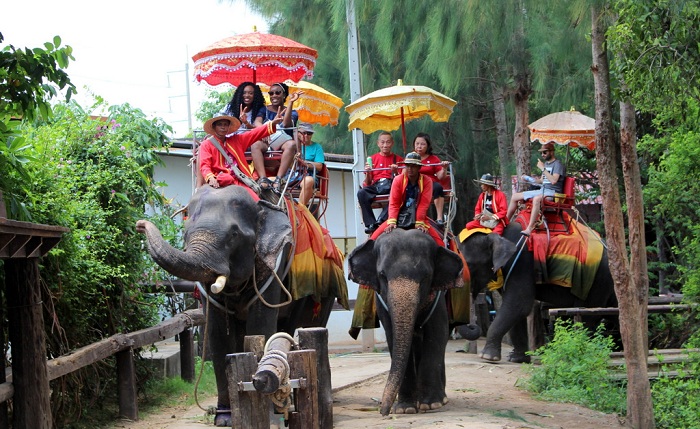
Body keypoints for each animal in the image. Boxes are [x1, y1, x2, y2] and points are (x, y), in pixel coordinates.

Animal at [135, 185, 344, 424]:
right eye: (185, 233)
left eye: (234, 235)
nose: (140, 224)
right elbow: (217, 335)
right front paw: (224, 418)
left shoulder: (273, 266)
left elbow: (260, 326)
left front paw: (269, 410)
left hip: (320, 293)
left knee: (293, 328)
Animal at [346, 227, 464, 414]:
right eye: (382, 275)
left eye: (425, 277)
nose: (383, 412)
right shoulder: (382, 301)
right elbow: (393, 337)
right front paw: (405, 409)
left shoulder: (437, 297)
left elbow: (437, 333)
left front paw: (431, 404)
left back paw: (440, 399)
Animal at [456, 219, 616, 362]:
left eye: (469, 264)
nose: (473, 325)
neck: (497, 232)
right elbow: (516, 309)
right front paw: (516, 359)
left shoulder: (522, 263)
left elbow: (519, 305)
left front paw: (488, 357)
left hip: (597, 282)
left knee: (587, 316)